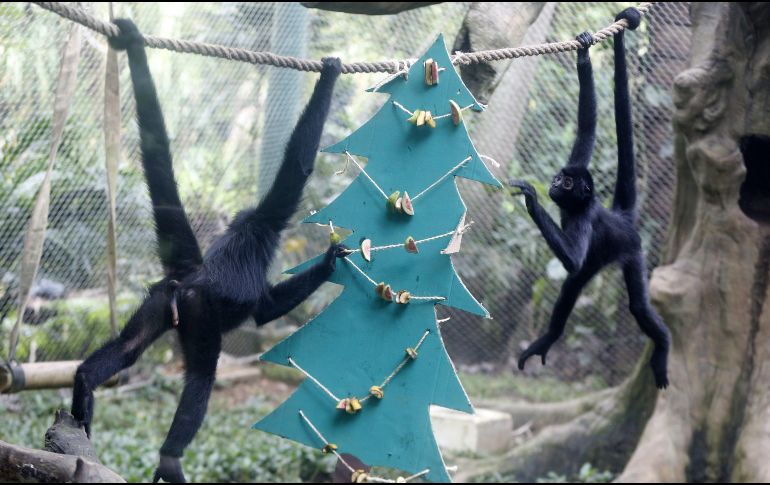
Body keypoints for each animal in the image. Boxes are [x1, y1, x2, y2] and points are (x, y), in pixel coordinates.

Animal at [70, 19, 345, 483]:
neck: (246, 227)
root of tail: (193, 275)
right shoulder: (269, 218)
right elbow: (297, 168)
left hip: (161, 298)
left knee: (128, 346)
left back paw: (85, 383)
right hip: (199, 311)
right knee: (201, 377)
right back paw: (170, 455)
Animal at [509, 8, 671, 390]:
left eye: (567, 182)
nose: (554, 182)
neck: (577, 207)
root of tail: (623, 218)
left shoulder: (582, 220)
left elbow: (570, 260)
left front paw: (531, 199)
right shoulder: (580, 161)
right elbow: (587, 128)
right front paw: (583, 55)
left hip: (633, 251)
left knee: (633, 305)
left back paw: (663, 346)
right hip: (601, 261)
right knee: (573, 284)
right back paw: (547, 339)